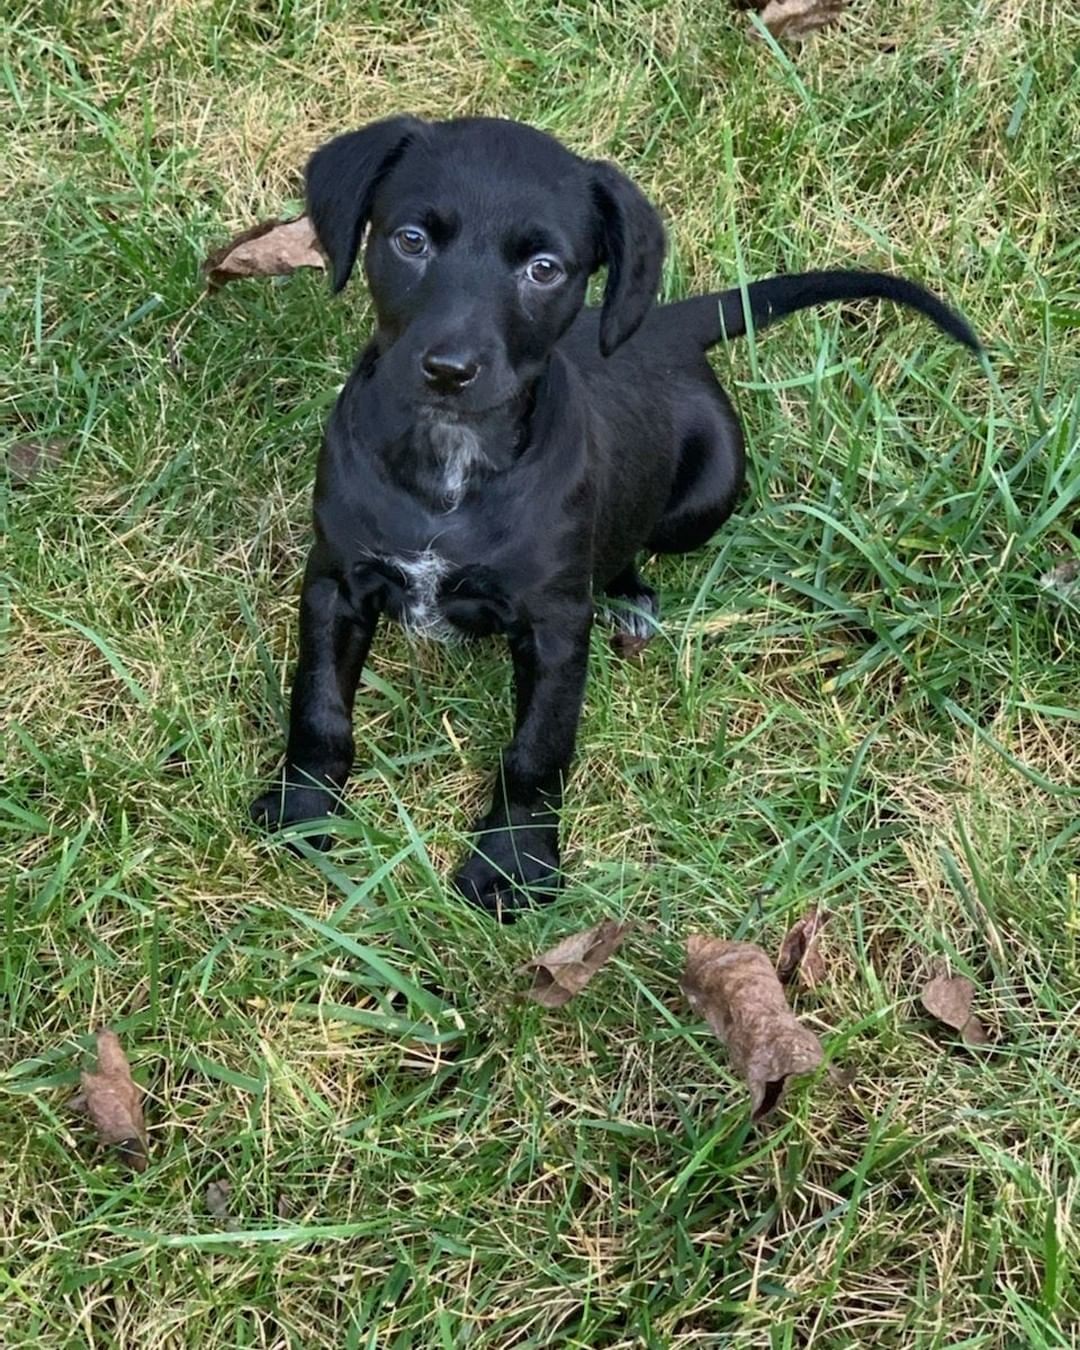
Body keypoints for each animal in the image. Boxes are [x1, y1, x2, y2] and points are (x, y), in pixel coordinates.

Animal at [251, 116, 977, 918]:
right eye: (410, 240)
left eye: (543, 268)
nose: (448, 370)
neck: (450, 465)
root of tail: (659, 327)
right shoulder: (335, 583)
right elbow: (319, 707)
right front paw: (304, 810)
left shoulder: (556, 625)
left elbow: (537, 750)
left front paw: (512, 864)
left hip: (706, 497)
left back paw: (629, 598)